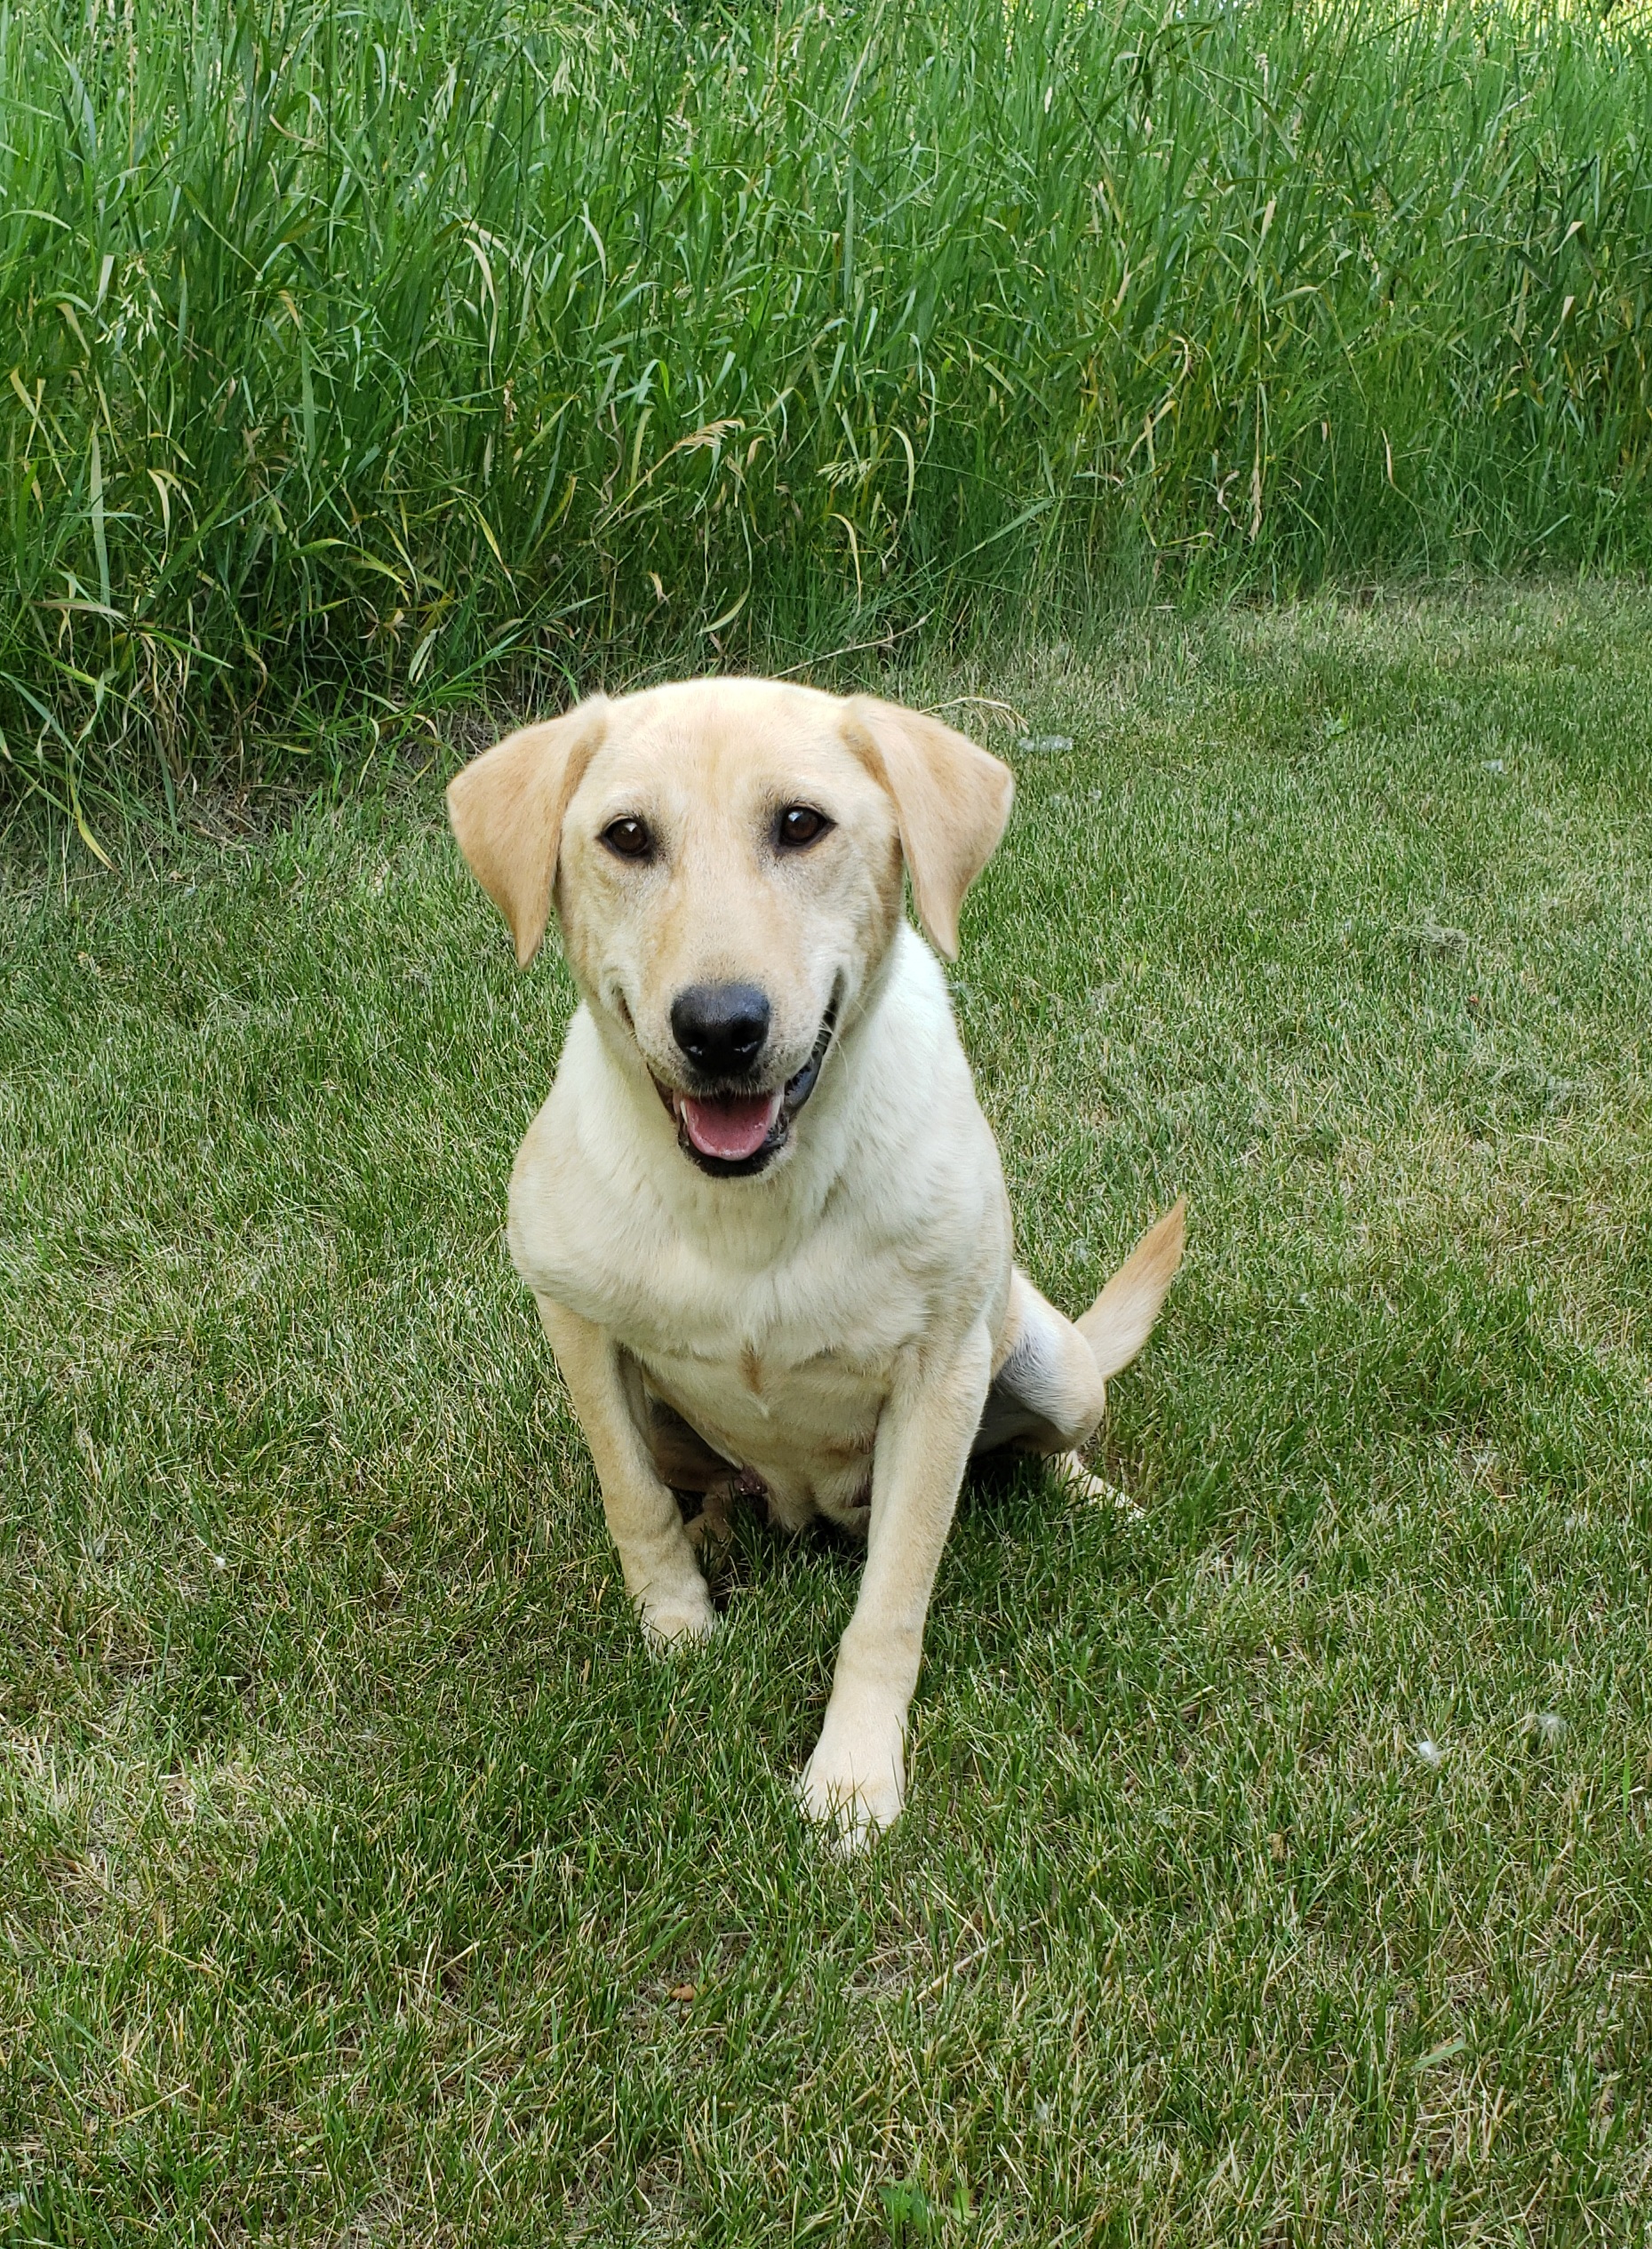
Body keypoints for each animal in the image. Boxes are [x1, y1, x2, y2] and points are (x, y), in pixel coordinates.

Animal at [445, 679, 1188, 1844]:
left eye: (800, 824)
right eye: (626, 837)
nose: (718, 1029)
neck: (745, 1206)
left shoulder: (938, 1378)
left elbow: (890, 1602)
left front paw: (851, 1775)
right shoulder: (576, 1323)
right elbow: (630, 1500)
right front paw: (676, 1629)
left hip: (1043, 1361)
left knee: (1049, 1441)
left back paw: (1099, 1502)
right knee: (694, 1480)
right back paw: (719, 1522)